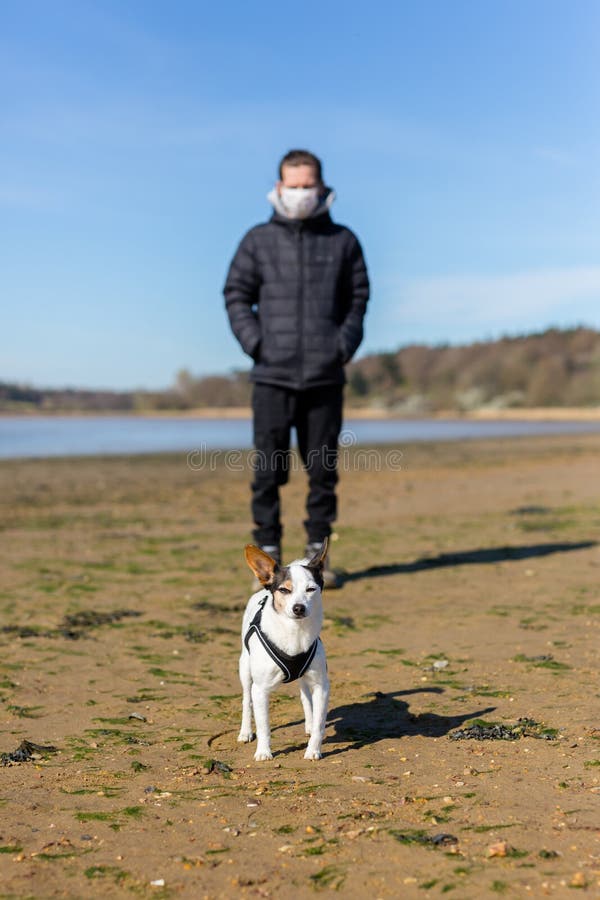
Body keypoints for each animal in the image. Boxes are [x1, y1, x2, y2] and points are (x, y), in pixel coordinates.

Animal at [238, 536, 330, 764]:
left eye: (311, 589)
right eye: (284, 590)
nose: (298, 608)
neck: (295, 633)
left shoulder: (321, 686)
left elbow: (319, 723)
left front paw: (313, 750)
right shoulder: (260, 690)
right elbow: (264, 725)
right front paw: (264, 751)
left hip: (305, 678)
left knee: (305, 697)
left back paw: (308, 724)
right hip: (245, 669)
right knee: (246, 700)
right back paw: (245, 732)